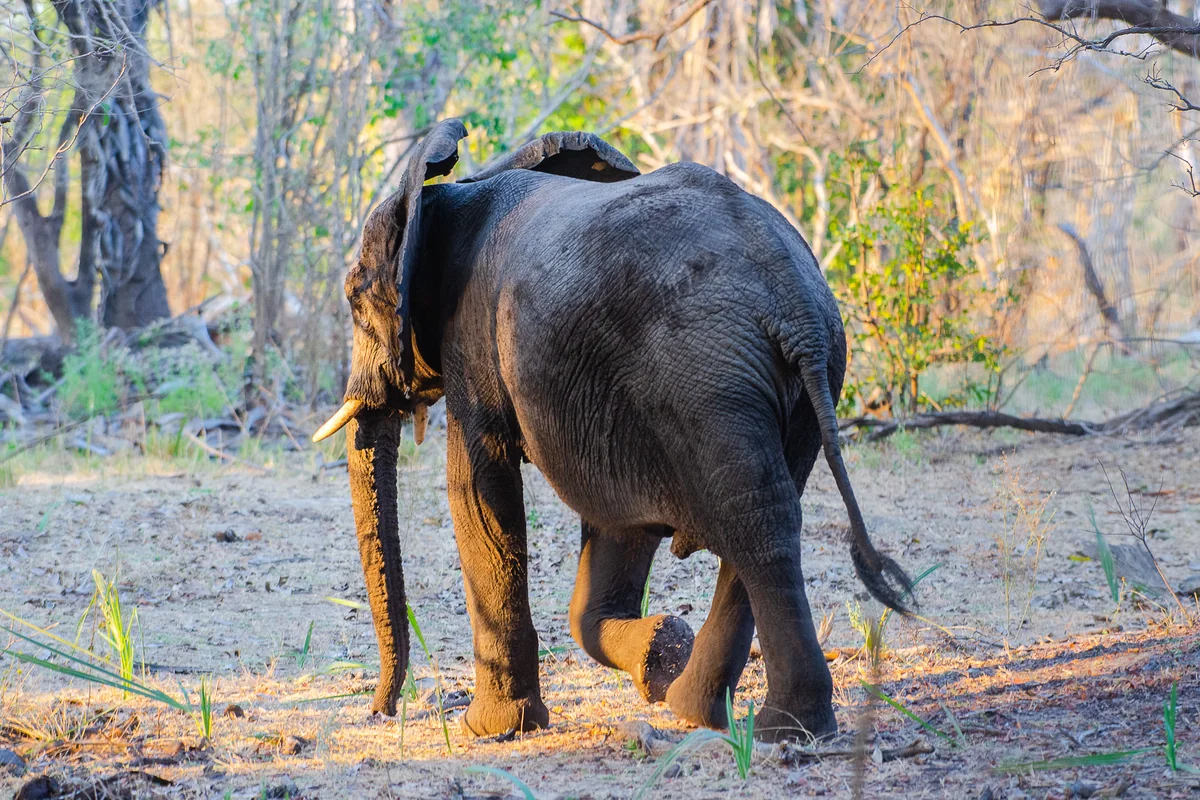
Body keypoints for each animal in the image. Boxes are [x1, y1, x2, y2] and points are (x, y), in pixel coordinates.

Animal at [312, 119, 914, 742]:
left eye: (355, 295)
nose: (382, 709)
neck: (447, 194)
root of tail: (793, 301)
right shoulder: (608, 399)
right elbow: (617, 519)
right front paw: (659, 653)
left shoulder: (474, 340)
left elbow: (479, 493)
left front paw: (494, 729)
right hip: (776, 379)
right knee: (769, 513)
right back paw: (719, 715)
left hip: (705, 376)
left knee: (754, 525)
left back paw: (776, 728)